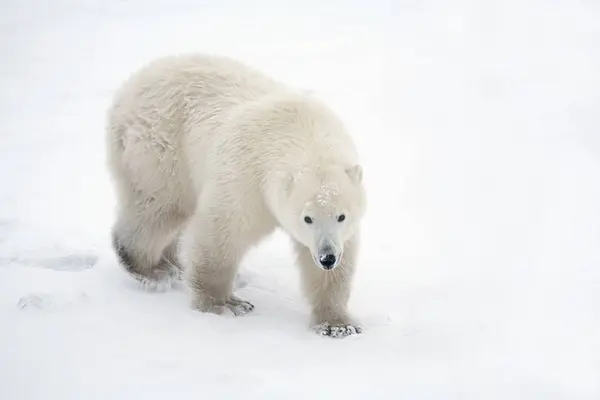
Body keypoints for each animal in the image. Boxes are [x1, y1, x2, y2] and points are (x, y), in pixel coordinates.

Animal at [106, 54, 366, 338]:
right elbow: (222, 233)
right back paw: (151, 270)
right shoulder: (246, 178)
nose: (327, 257)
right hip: (160, 148)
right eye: (307, 218)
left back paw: (172, 264)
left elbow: (335, 266)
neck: (303, 130)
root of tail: (127, 90)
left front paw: (337, 325)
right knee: (159, 207)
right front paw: (225, 305)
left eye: (341, 216)